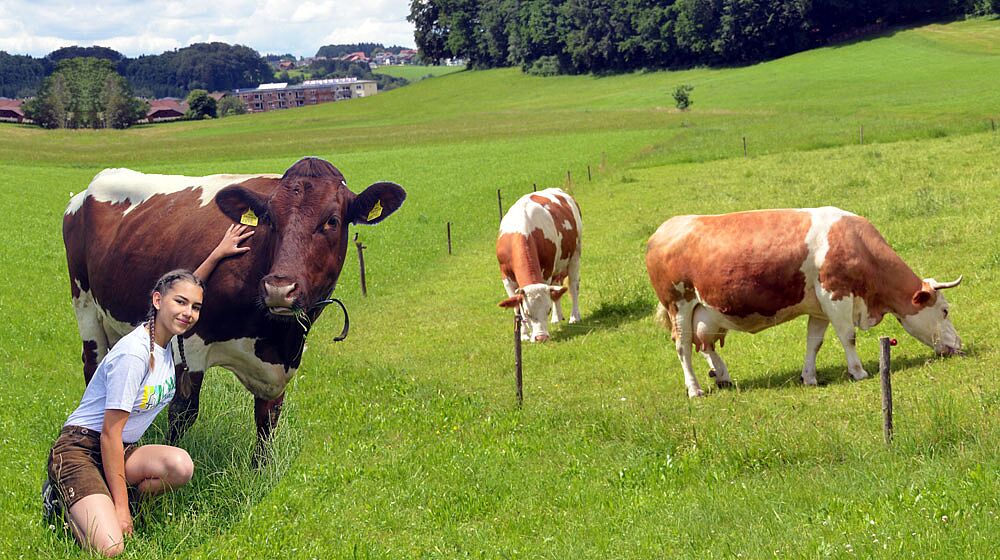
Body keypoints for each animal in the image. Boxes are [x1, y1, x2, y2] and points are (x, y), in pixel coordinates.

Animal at [65, 155, 406, 448]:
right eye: (269, 219)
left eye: (332, 221)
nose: (279, 289)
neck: (276, 336)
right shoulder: (189, 346)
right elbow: (182, 412)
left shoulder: (280, 368)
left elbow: (267, 420)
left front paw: (261, 471)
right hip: (85, 305)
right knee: (93, 364)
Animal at [496, 188, 584, 342]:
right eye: (527, 312)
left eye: (547, 310)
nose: (541, 337)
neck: (522, 231)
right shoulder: (505, 277)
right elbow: (516, 307)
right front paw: (524, 334)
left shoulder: (547, 271)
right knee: (557, 290)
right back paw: (557, 317)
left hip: (575, 254)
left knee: (573, 286)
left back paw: (574, 316)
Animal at [644, 207, 964, 398]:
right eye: (944, 310)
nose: (960, 346)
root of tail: (664, 229)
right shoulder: (836, 296)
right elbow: (848, 337)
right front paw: (858, 372)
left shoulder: (820, 308)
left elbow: (815, 342)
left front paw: (809, 377)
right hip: (679, 305)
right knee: (684, 347)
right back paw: (694, 389)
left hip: (705, 312)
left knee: (705, 345)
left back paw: (722, 376)